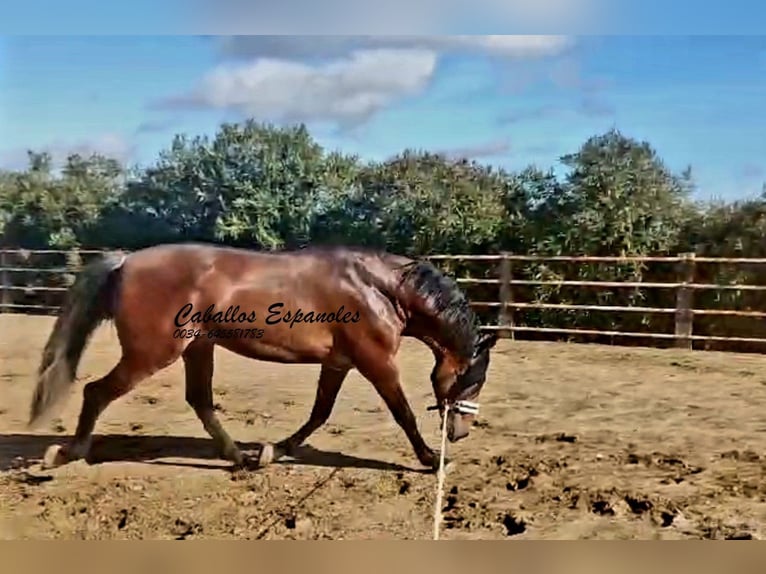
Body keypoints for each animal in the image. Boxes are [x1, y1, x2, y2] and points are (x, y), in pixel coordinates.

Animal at [28, 243, 498, 472]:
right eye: (473, 380)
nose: (461, 433)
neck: (379, 287)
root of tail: (124, 263)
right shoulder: (375, 361)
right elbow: (403, 413)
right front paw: (432, 461)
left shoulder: (339, 362)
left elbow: (319, 413)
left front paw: (274, 450)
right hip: (153, 352)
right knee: (96, 392)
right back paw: (66, 454)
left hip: (197, 347)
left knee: (200, 401)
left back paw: (240, 458)